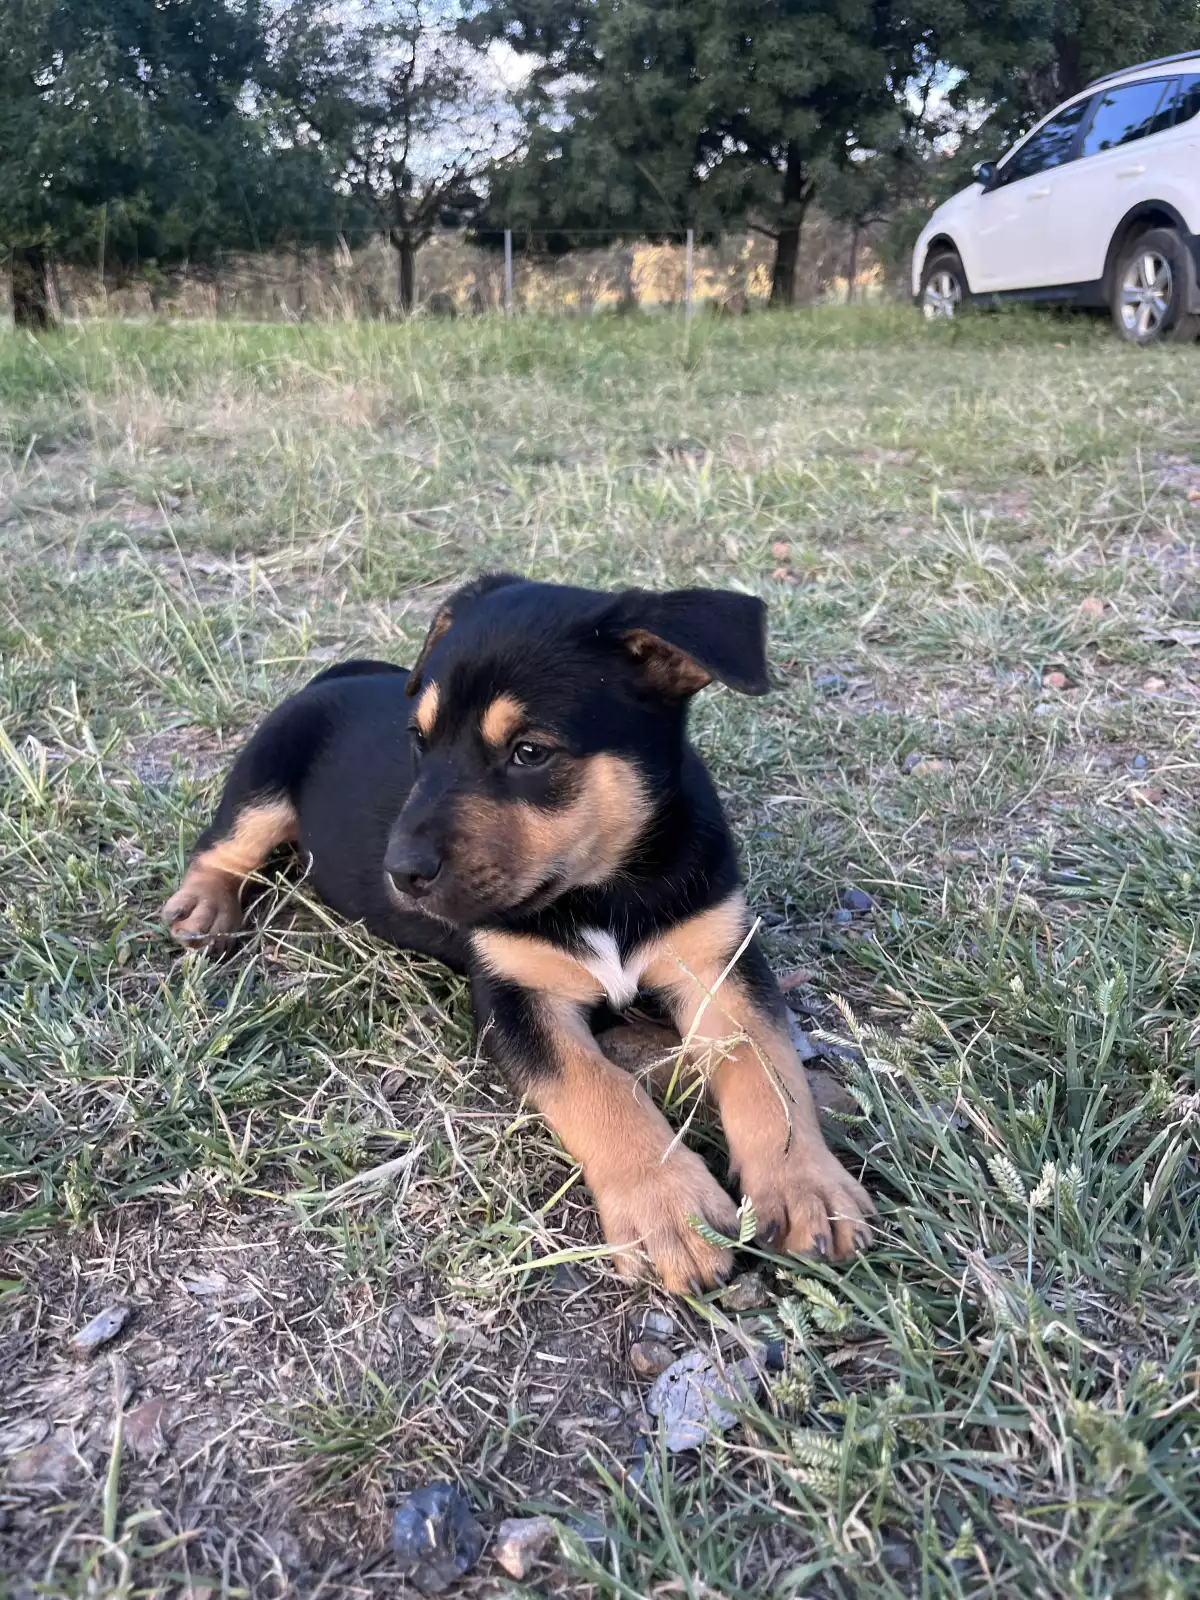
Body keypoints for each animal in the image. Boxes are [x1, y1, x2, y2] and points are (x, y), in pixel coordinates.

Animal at [163, 574, 874, 1292]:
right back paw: (202, 911)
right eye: (418, 741)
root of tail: (338, 677)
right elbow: (596, 1087)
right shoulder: (513, 996)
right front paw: (669, 1208)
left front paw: (806, 1187)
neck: (602, 886)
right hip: (265, 776)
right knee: (223, 842)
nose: (399, 872)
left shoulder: (720, 961)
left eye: (529, 752)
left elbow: (769, 1071)